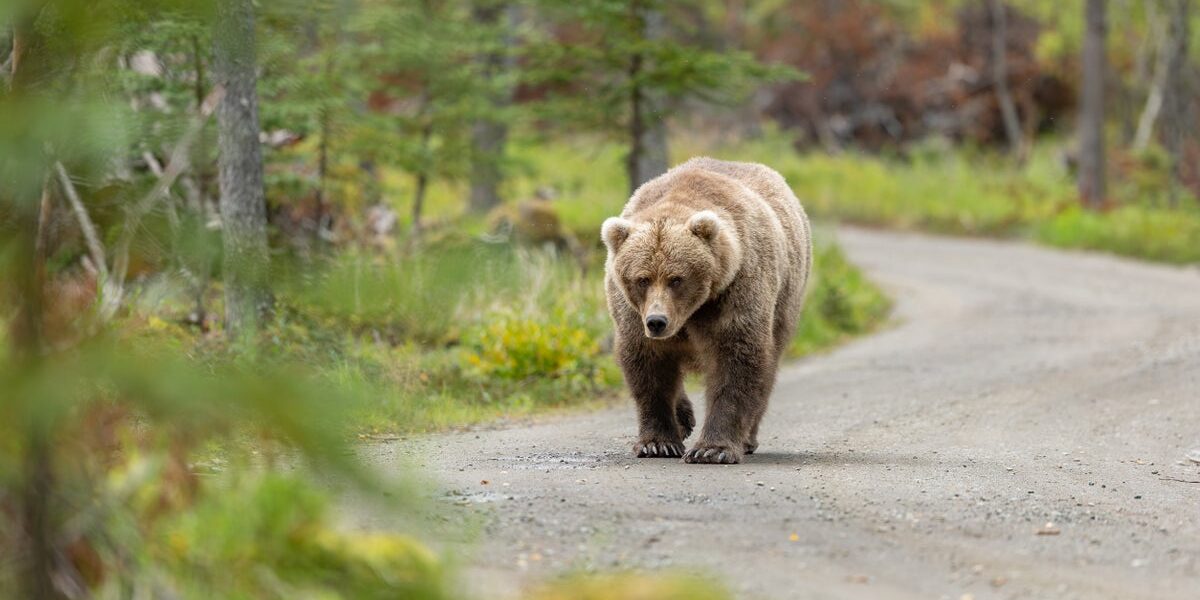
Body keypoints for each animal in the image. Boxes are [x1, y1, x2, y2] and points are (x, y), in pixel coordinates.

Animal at [601, 157, 812, 464]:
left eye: (677, 278)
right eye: (642, 279)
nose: (657, 321)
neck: (692, 312)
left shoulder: (735, 289)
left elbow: (735, 359)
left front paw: (713, 449)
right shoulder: (631, 312)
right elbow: (648, 365)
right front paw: (658, 443)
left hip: (785, 299)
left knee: (768, 364)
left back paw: (747, 438)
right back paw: (684, 417)